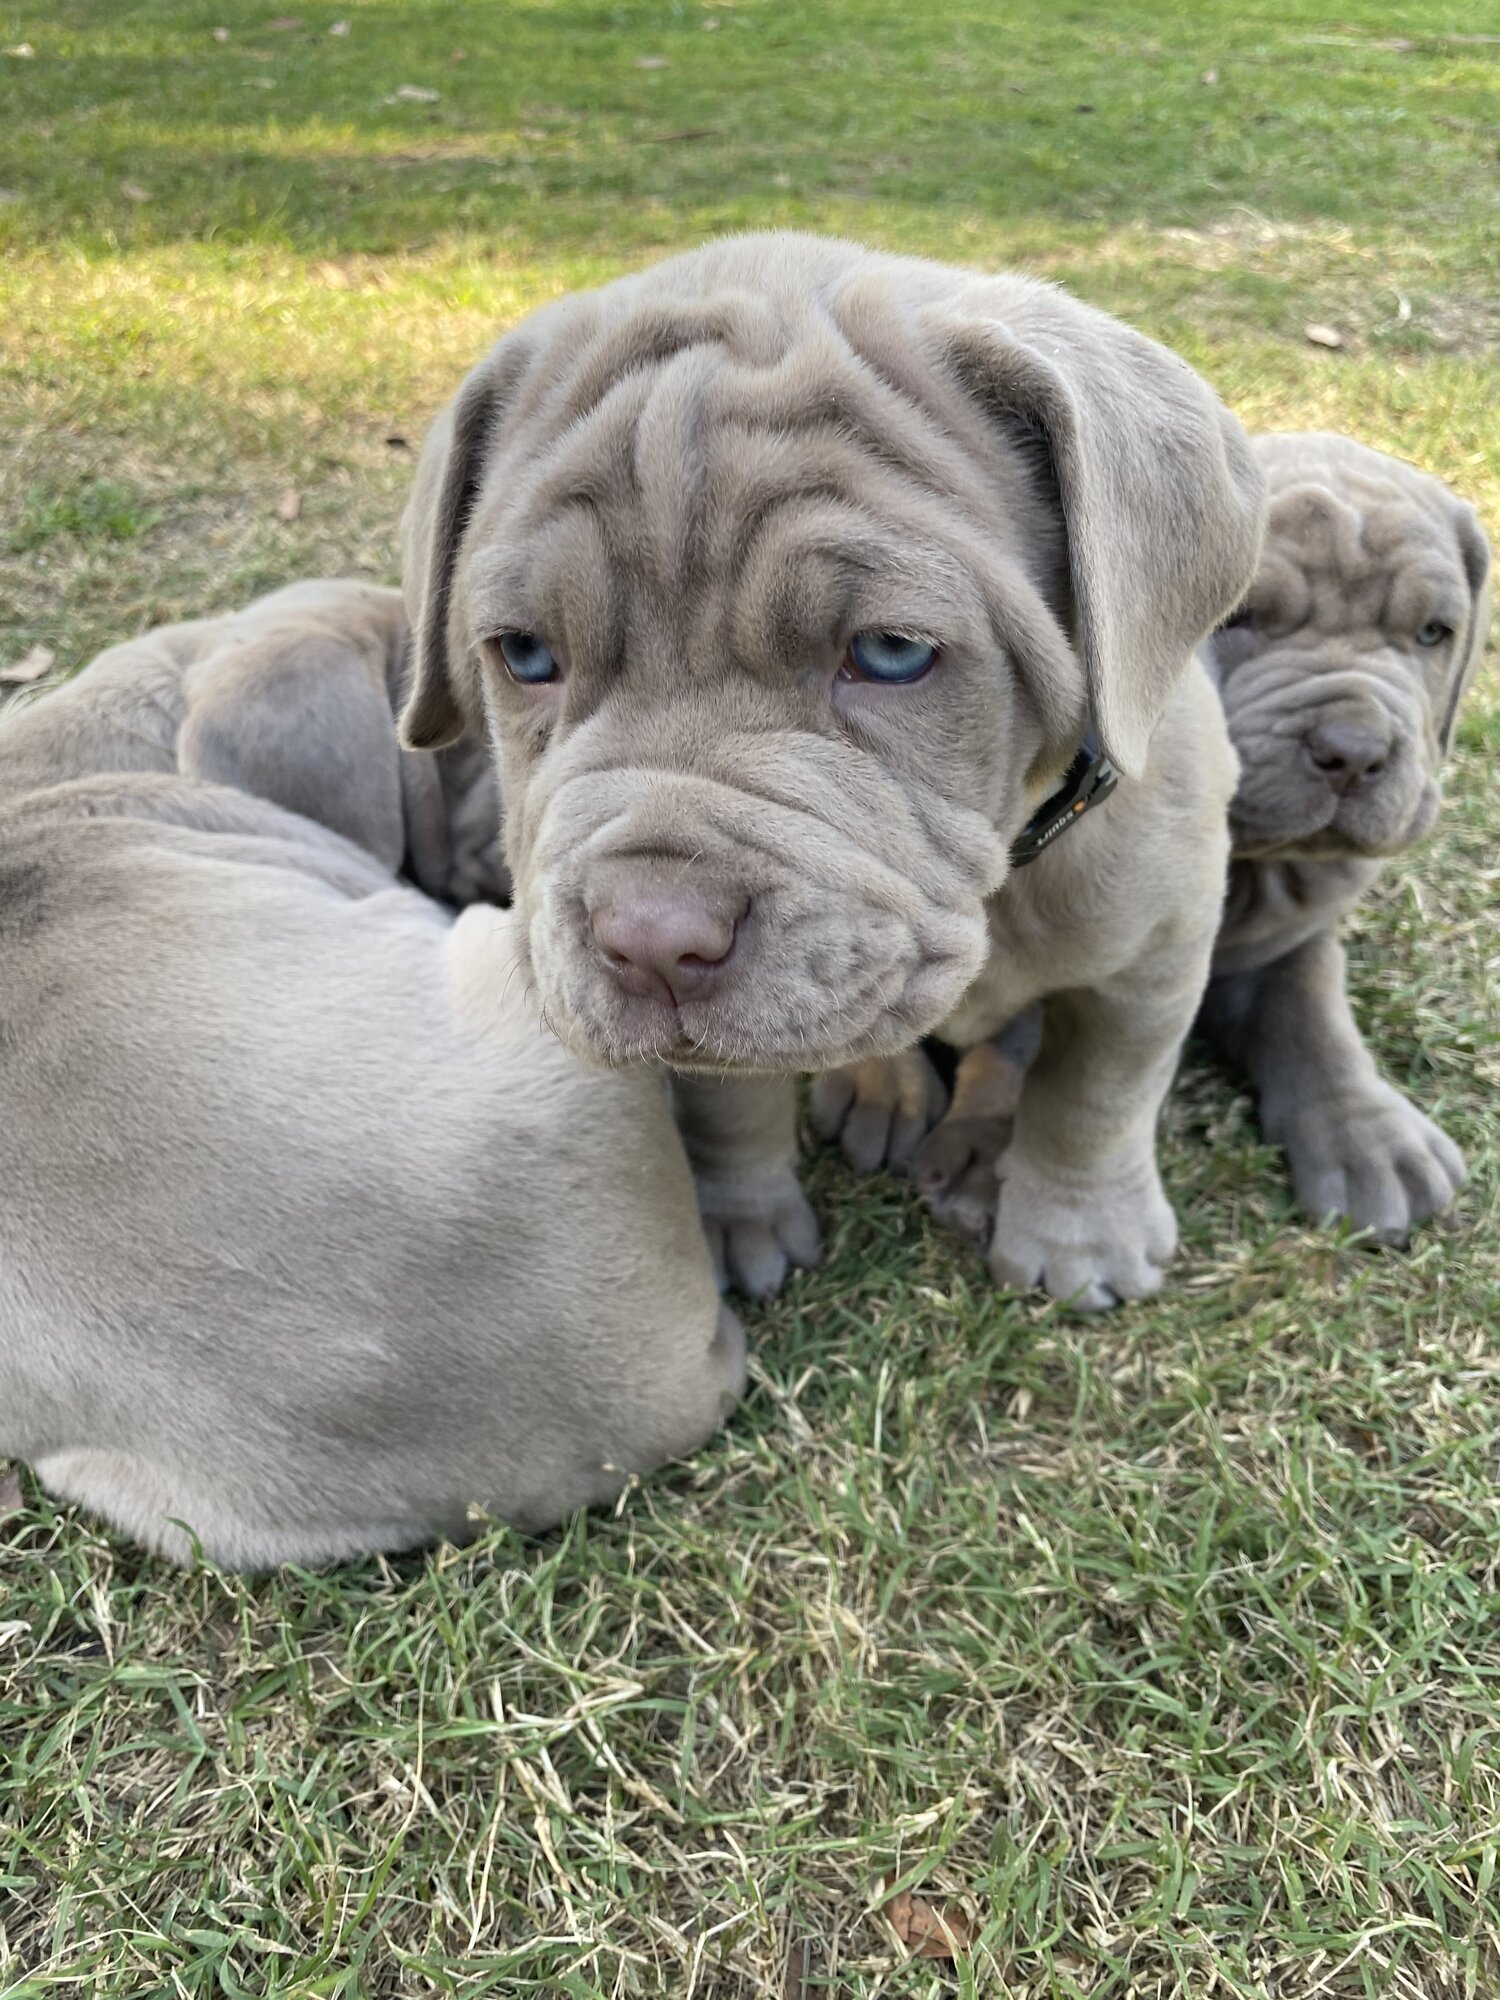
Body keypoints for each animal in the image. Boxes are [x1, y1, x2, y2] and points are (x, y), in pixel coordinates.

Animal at [400, 230, 1272, 1312]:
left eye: (892, 652)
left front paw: (1083, 1240)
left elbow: (1096, 1093)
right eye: (523, 654)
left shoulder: (1157, 949)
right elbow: (726, 1100)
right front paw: (739, 1223)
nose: (650, 941)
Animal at [840, 438, 1496, 1248]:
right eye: (1238, 616)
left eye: (1434, 634)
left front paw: (1370, 1138)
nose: (1355, 749)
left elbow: (1313, 1010)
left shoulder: (1288, 940)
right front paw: (991, 1151)